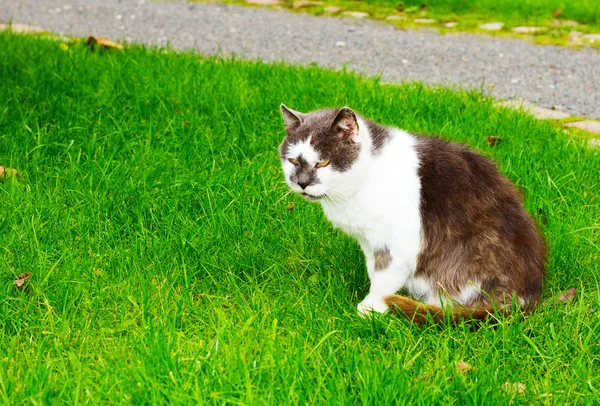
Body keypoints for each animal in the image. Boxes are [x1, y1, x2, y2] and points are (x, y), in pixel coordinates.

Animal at [278, 104, 548, 324]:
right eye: (293, 161)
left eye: (323, 163)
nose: (302, 183)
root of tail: (525, 299)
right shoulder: (369, 241)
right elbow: (374, 270)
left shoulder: (399, 244)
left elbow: (385, 277)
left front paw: (370, 309)